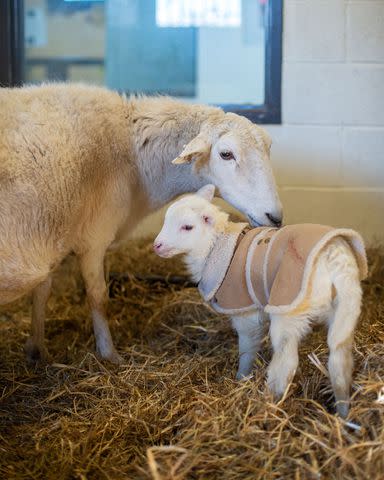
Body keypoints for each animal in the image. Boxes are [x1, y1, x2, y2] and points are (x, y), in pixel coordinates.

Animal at [0, 83, 282, 364]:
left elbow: (42, 291)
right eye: (226, 154)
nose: (276, 217)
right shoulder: (93, 238)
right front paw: (110, 355)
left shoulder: (51, 236)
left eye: (269, 147)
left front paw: (37, 349)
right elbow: (98, 297)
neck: (132, 154)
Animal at [154, 184, 368, 416]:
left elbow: (247, 350)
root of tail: (332, 259)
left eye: (187, 227)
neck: (215, 246)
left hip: (288, 306)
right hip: (347, 306)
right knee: (340, 361)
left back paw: (267, 403)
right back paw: (343, 414)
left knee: (286, 362)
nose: (157, 245)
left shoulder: (245, 312)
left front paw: (241, 378)